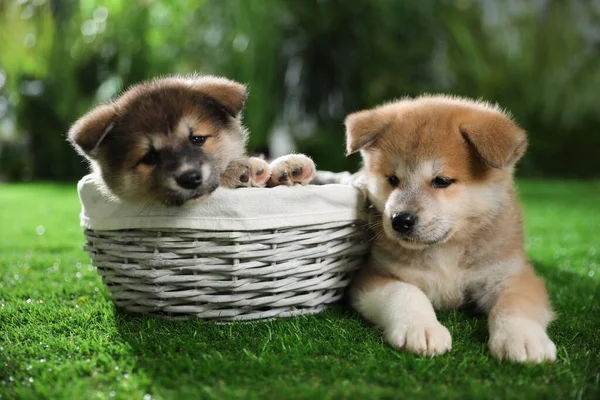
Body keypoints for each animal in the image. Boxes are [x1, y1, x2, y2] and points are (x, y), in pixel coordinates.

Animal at [342, 95, 556, 364]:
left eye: (441, 181)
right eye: (392, 179)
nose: (400, 220)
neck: (447, 250)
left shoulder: (512, 275)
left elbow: (514, 305)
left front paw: (523, 337)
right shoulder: (375, 275)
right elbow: (406, 293)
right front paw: (421, 328)